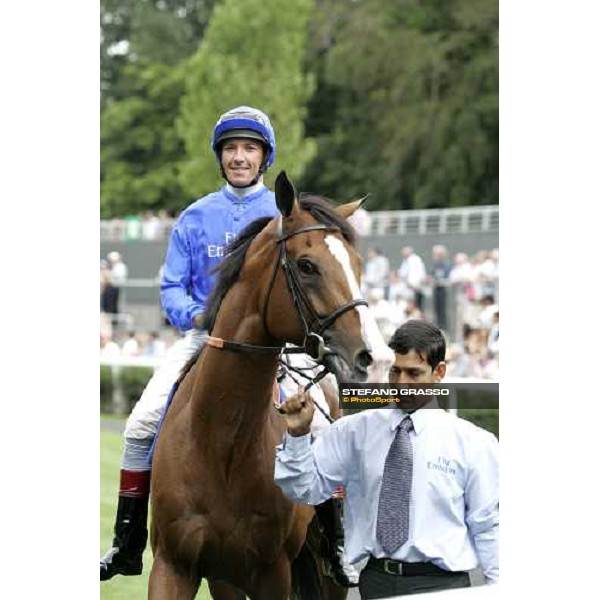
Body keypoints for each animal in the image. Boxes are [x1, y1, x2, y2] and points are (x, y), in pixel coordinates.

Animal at [148, 171, 386, 596]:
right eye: (307, 265)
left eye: (357, 264)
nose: (363, 356)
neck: (221, 443)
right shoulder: (176, 564)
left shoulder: (272, 571)